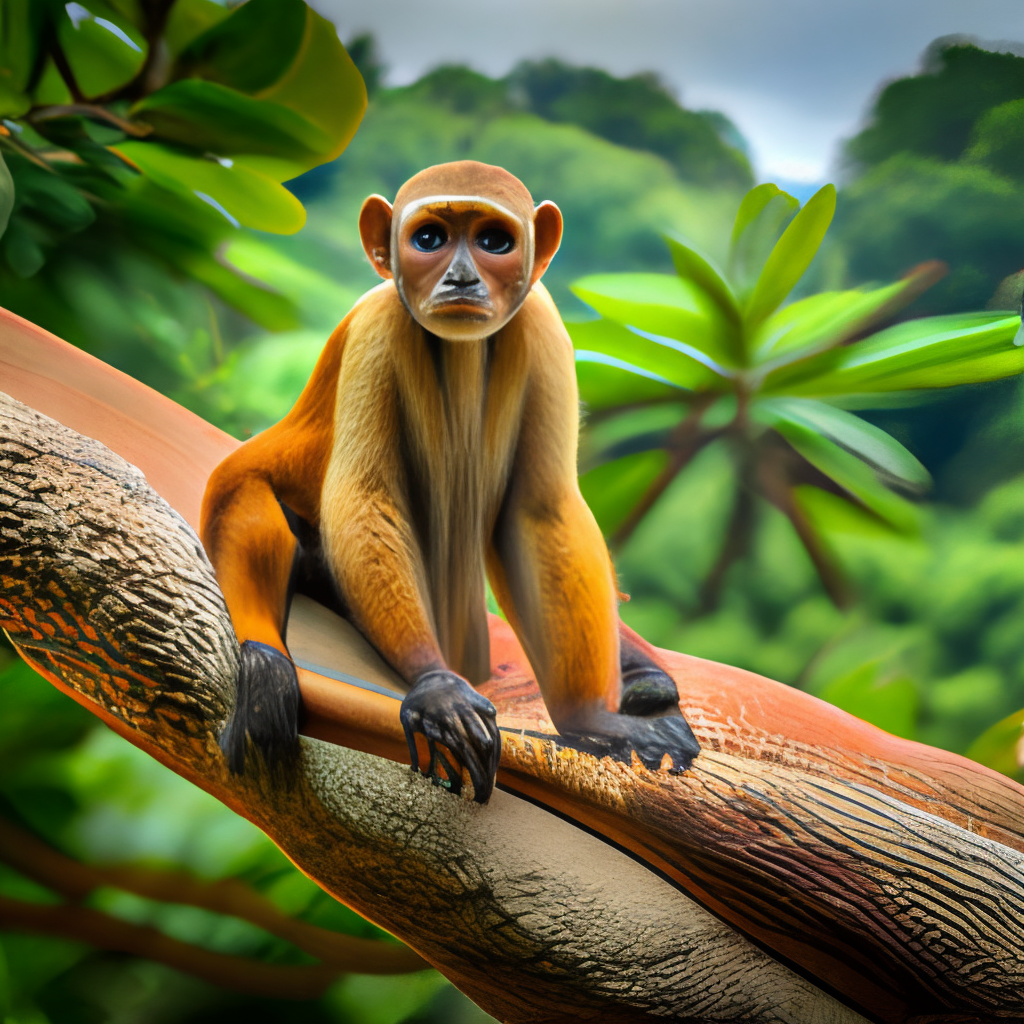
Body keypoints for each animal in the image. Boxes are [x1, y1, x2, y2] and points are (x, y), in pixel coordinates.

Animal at [201, 159, 696, 802]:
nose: (461, 278)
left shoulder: (542, 324)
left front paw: (592, 717)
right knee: (252, 499)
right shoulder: (380, 327)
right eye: (430, 239)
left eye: (494, 242)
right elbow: (365, 499)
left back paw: (645, 682)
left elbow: (540, 511)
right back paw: (264, 660)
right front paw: (437, 687)